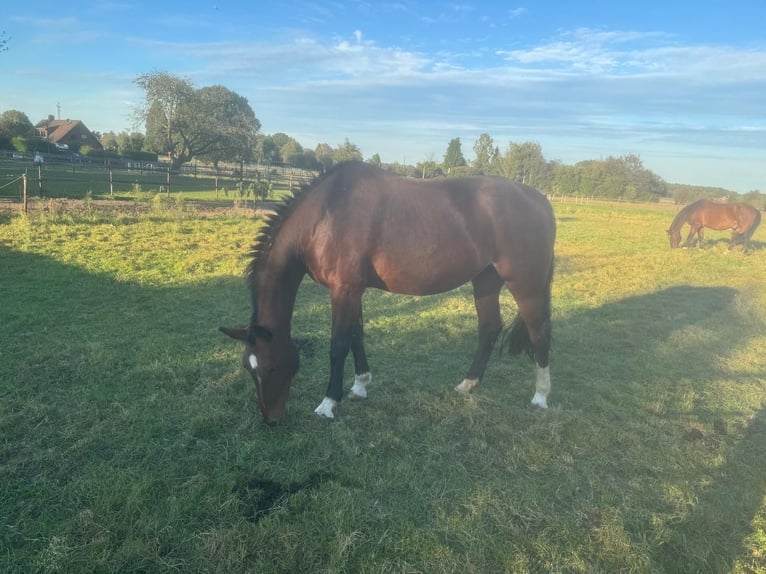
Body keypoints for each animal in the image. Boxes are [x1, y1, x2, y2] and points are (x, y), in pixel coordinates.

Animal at [222, 161, 560, 424]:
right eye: (248, 367)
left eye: (270, 366)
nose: (270, 419)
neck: (325, 215)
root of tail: (540, 200)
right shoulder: (352, 290)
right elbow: (356, 336)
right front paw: (360, 386)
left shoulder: (343, 290)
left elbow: (338, 345)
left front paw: (328, 403)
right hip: (485, 280)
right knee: (489, 328)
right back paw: (468, 384)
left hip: (525, 285)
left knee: (539, 332)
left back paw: (541, 396)